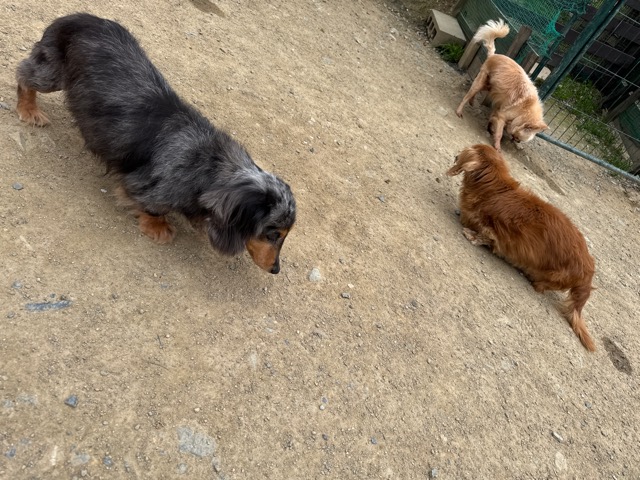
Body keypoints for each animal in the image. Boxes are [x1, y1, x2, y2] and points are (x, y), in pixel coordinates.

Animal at [16, 13, 295, 274]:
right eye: (273, 233)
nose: (276, 269)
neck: (209, 166)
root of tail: (77, 17)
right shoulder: (146, 186)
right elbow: (152, 206)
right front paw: (158, 227)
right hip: (51, 74)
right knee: (24, 75)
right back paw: (29, 110)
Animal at [447, 144, 596, 351]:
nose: (455, 156)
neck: (495, 190)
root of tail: (588, 271)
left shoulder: (495, 230)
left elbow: (485, 236)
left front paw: (472, 236)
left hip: (553, 275)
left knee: (543, 285)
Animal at [456, 19, 548, 151]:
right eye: (517, 137)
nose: (516, 141)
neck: (525, 110)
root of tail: (494, 55)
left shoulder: (499, 110)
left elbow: (492, 120)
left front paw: (490, 129)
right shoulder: (501, 116)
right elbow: (499, 132)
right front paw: (497, 147)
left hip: (488, 86)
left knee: (473, 94)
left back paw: (472, 103)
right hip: (480, 83)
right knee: (467, 96)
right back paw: (459, 111)